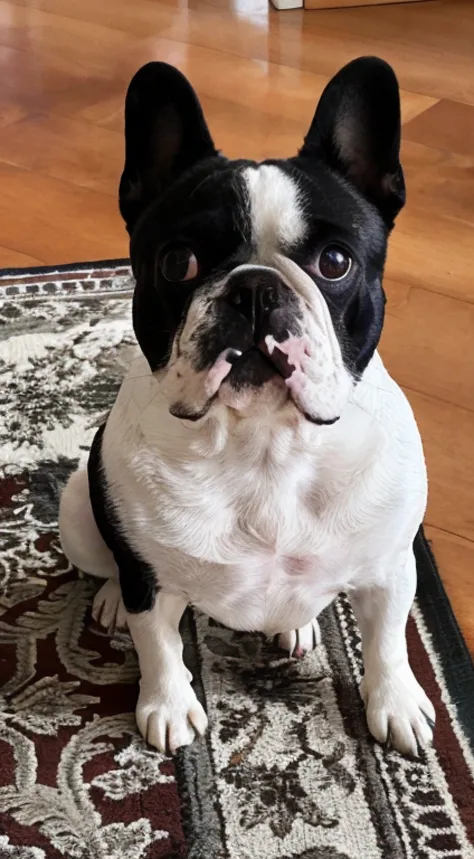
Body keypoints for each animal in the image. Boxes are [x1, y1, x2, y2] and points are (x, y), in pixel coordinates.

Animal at [57, 58, 436, 760]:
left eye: (335, 262)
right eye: (178, 262)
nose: (256, 287)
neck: (264, 445)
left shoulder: (391, 570)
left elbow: (389, 642)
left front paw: (396, 703)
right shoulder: (151, 580)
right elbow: (158, 642)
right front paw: (168, 704)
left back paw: (299, 626)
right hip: (77, 512)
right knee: (110, 571)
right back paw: (111, 602)